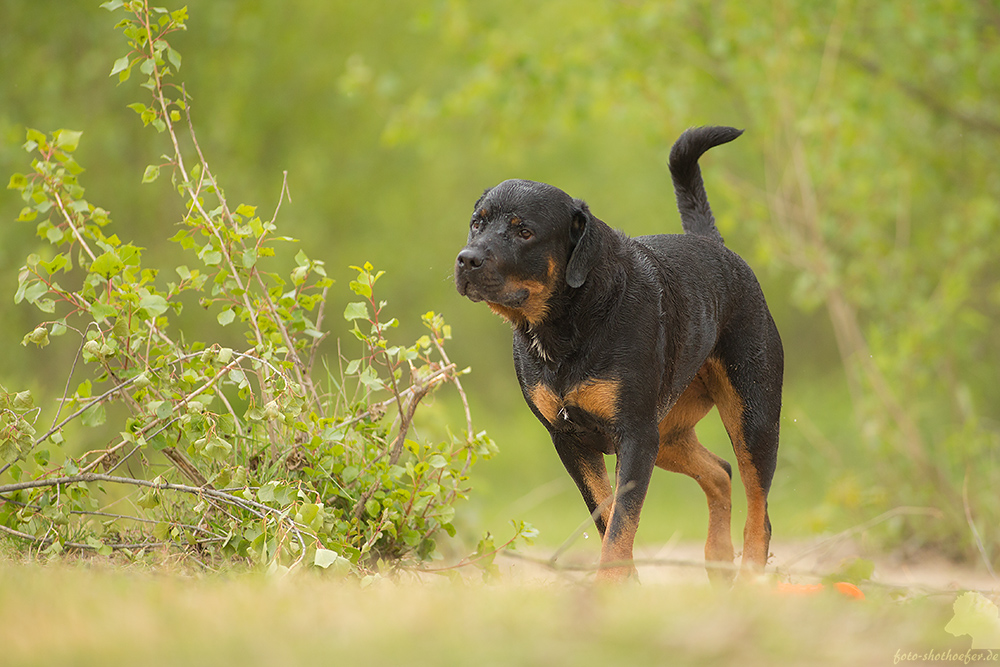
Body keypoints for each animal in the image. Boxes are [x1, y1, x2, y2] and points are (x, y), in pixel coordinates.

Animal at [454, 126, 780, 584]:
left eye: (524, 232)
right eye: (477, 223)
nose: (467, 259)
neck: (566, 328)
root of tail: (711, 244)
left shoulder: (635, 435)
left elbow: (622, 520)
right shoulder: (572, 440)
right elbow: (607, 517)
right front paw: (624, 585)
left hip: (751, 414)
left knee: (758, 508)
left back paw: (749, 576)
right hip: (669, 434)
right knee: (719, 471)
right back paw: (717, 558)